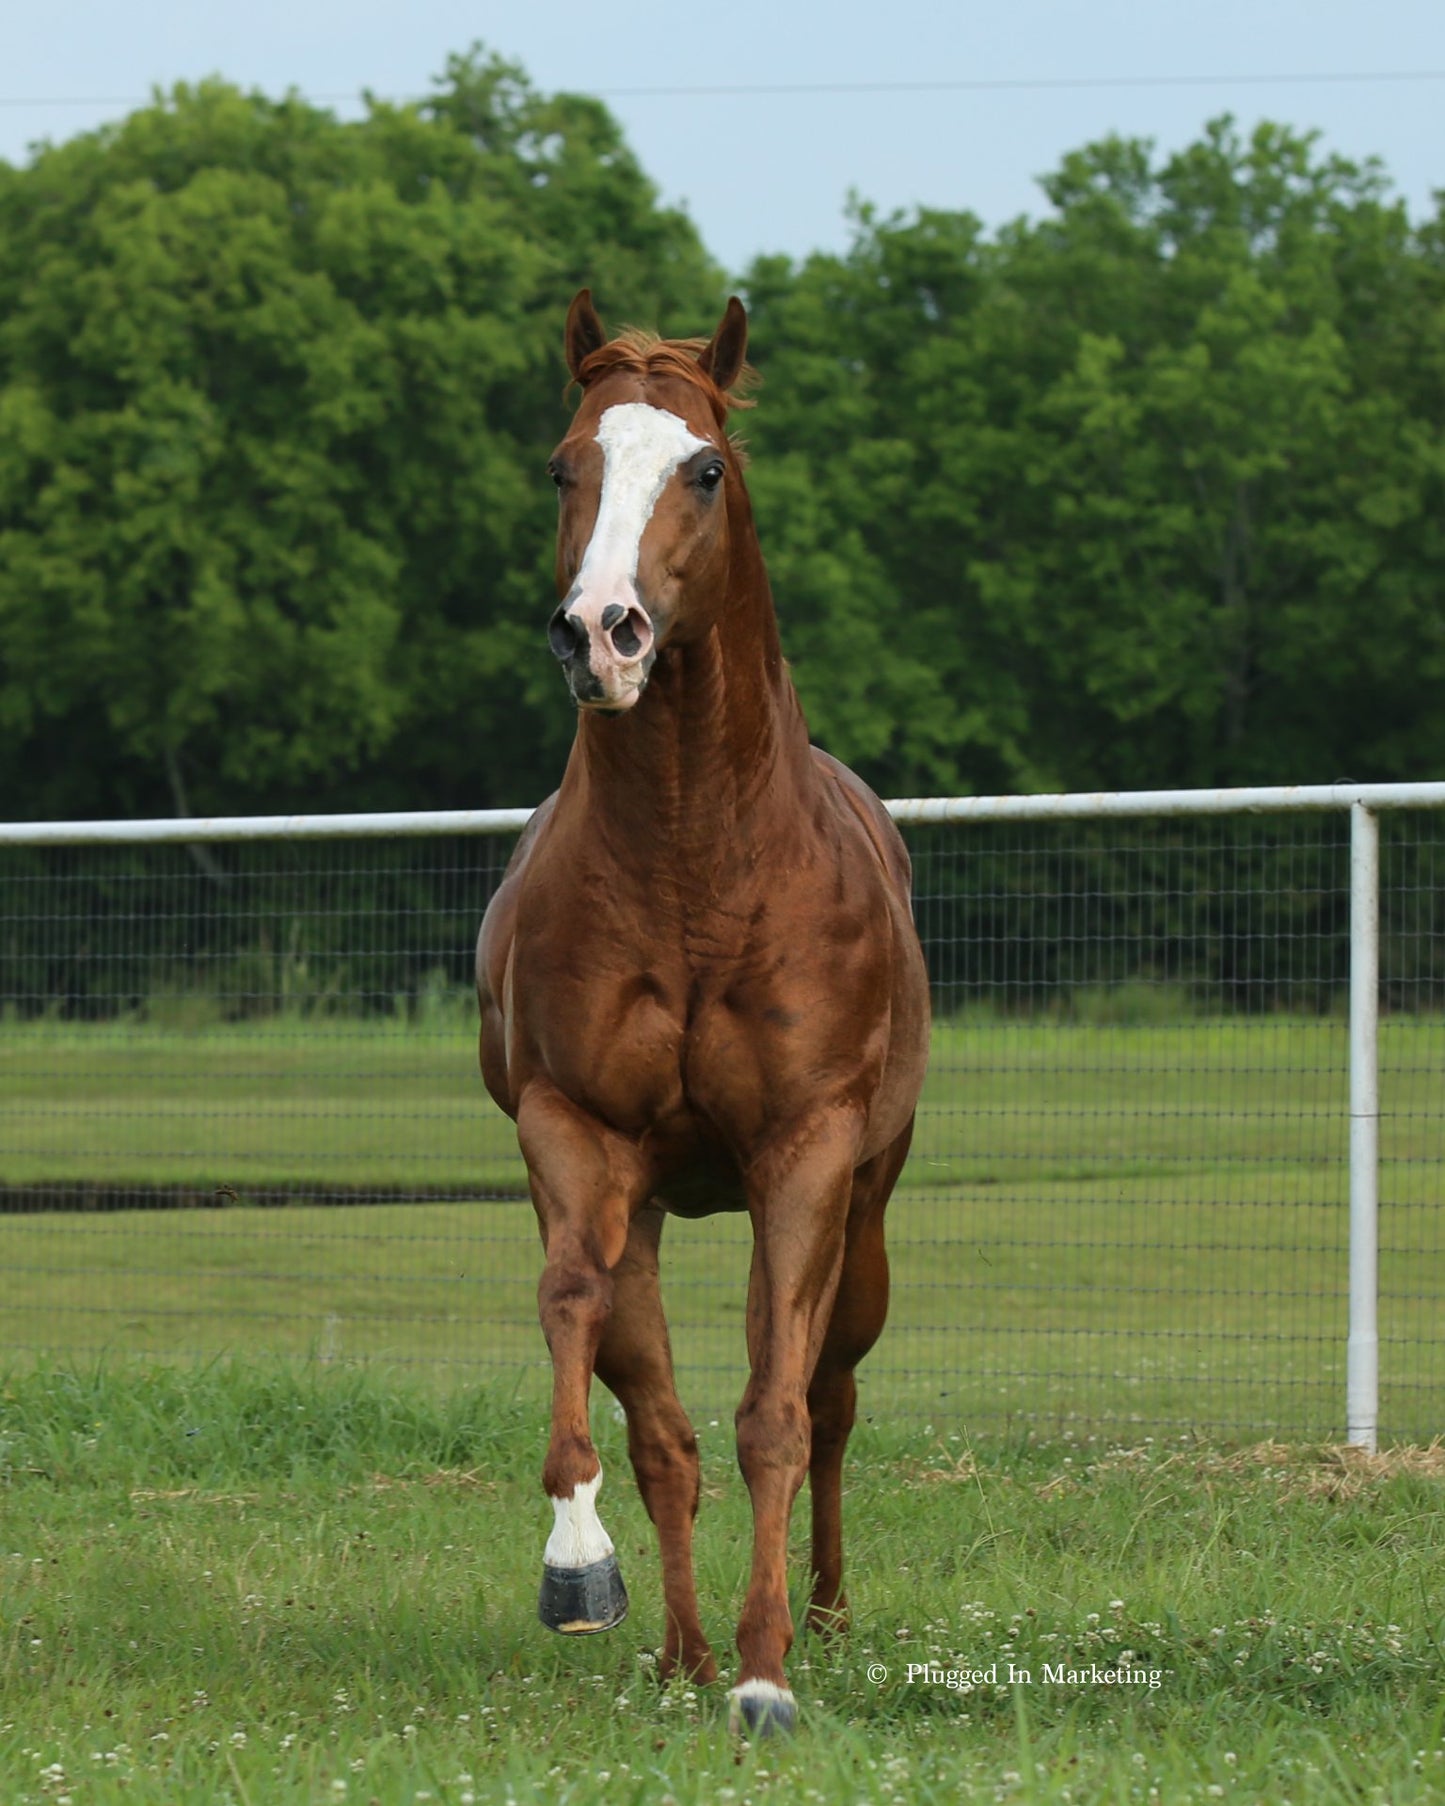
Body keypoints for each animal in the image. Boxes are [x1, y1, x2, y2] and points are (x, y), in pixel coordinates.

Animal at [473, 292, 924, 1733]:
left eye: (705, 467)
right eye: (563, 464)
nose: (600, 631)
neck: (690, 860)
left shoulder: (804, 1154)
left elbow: (776, 1410)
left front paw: (767, 1674)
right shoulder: (576, 1134)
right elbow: (581, 1322)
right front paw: (578, 1571)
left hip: (864, 1214)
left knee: (830, 1395)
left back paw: (818, 1619)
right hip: (655, 1205)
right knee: (659, 1418)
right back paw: (676, 1650)